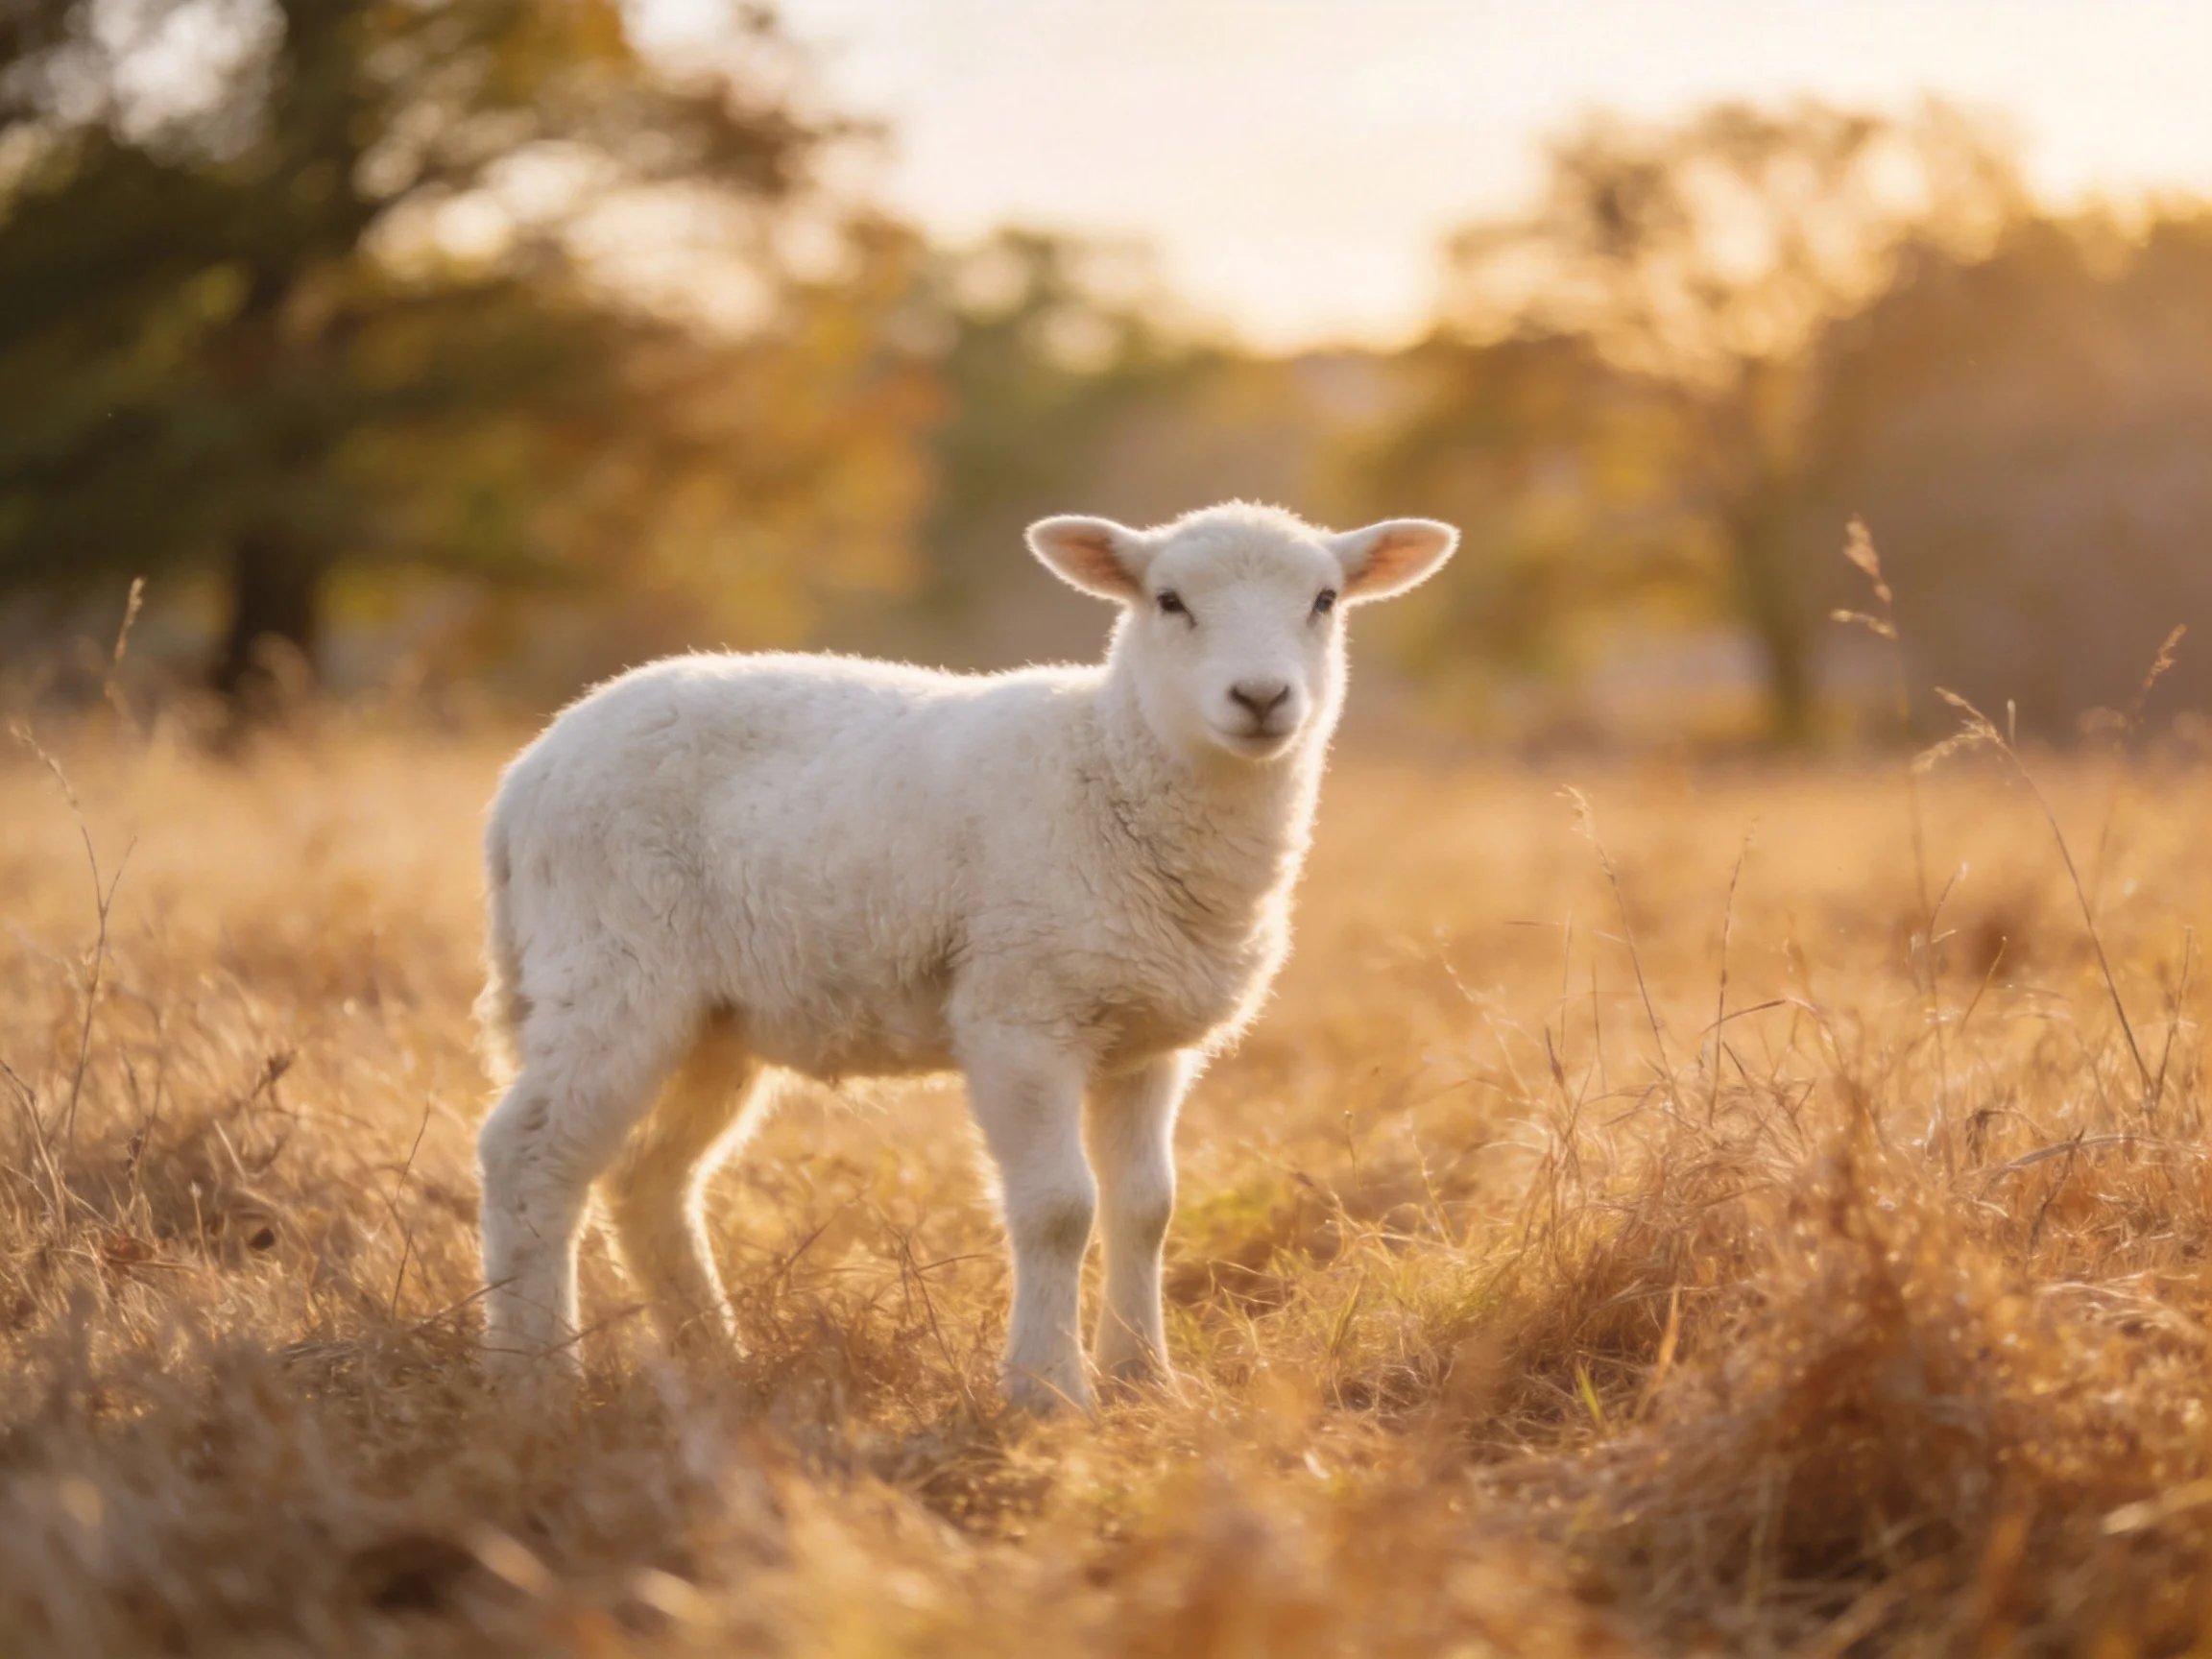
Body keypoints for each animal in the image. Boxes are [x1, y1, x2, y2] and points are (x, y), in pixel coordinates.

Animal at [474, 501, 1458, 1408]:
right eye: (1169, 600)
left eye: (1325, 601)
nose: (1259, 698)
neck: (1111, 762)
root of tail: (527, 773)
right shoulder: (1019, 1014)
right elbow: (1060, 1209)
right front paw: (1048, 1391)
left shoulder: (1147, 1037)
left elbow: (1147, 1207)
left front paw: (1144, 1379)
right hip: (611, 966)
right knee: (529, 1157)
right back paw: (535, 1376)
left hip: (711, 1020)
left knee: (650, 1181)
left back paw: (717, 1361)